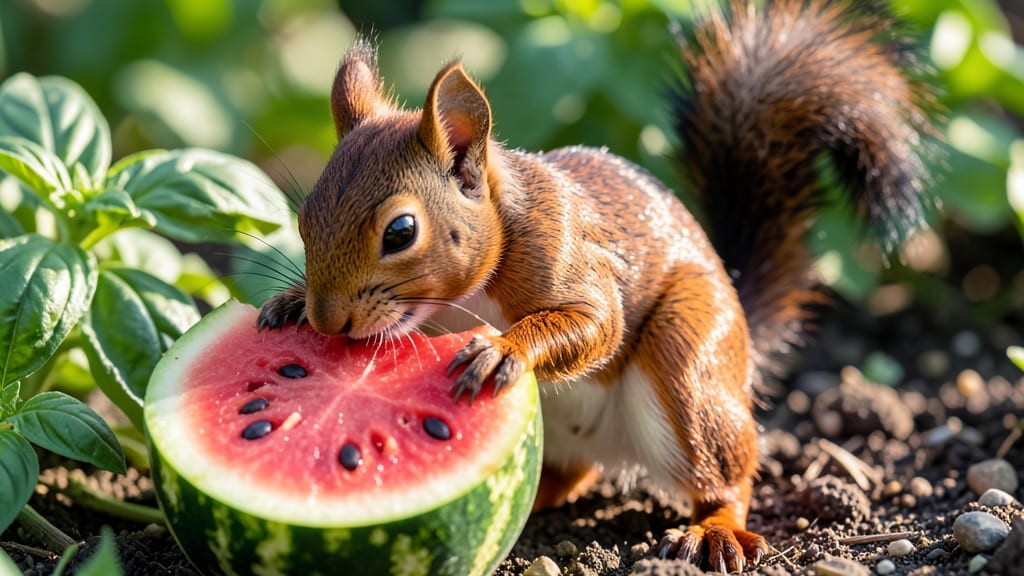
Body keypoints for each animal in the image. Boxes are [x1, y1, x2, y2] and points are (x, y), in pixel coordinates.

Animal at [257, 0, 933, 571]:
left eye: (400, 231)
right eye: (304, 216)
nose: (327, 320)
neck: (456, 303)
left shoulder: (568, 253)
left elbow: (596, 324)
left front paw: (503, 347)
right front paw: (287, 303)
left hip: (689, 358)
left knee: (727, 473)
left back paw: (714, 530)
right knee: (568, 476)